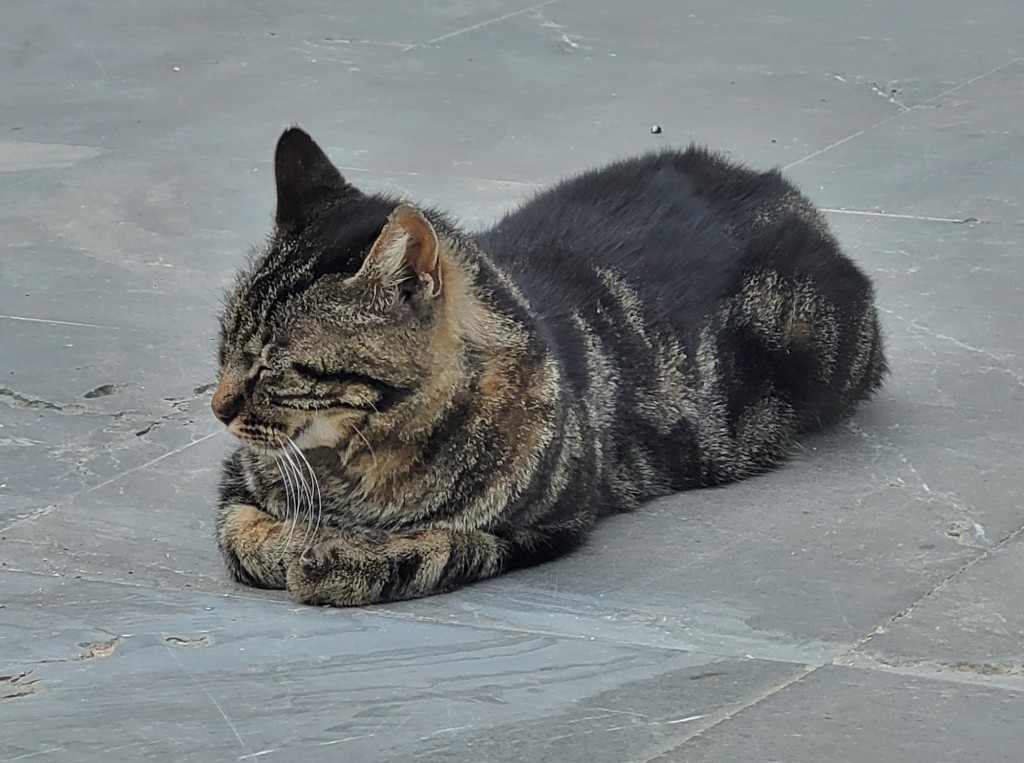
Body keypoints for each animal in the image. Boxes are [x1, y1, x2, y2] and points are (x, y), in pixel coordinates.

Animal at [211, 126, 884, 606]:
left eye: (272, 363)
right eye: (226, 347)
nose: (217, 409)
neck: (361, 460)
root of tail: (778, 188)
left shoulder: (539, 527)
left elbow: (435, 546)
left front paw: (342, 558)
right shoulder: (236, 480)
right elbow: (239, 535)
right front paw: (294, 541)